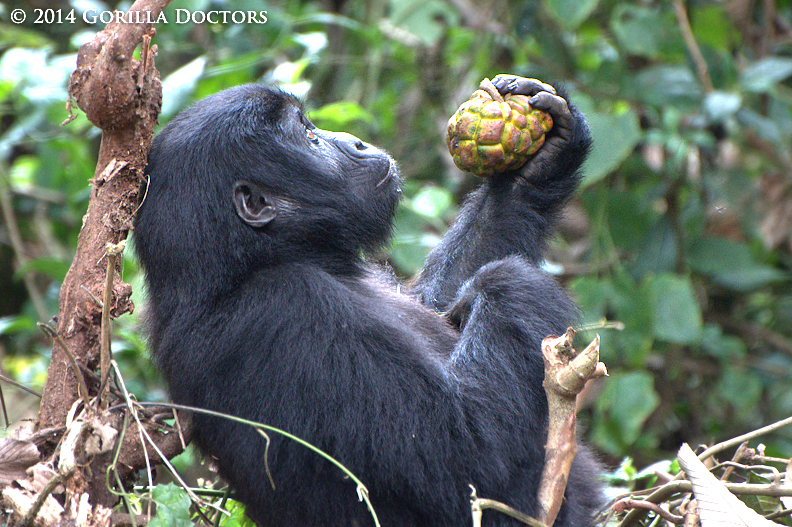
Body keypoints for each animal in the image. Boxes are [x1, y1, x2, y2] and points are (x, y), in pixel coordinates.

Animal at [135, 75, 600, 527]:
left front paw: (543, 160)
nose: (353, 141)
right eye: (310, 137)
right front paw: (510, 280)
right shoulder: (292, 307)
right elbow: (466, 452)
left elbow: (434, 301)